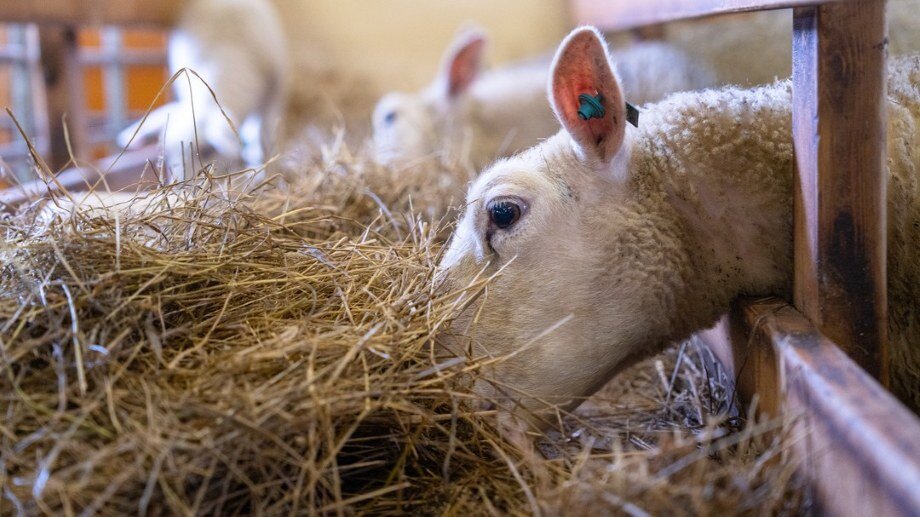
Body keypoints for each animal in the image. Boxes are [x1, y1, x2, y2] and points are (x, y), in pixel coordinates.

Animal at [117, 0, 288, 182]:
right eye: (168, 154)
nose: (183, 185)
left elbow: (263, 136)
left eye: (208, 151)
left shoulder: (274, 93)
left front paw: (264, 171)